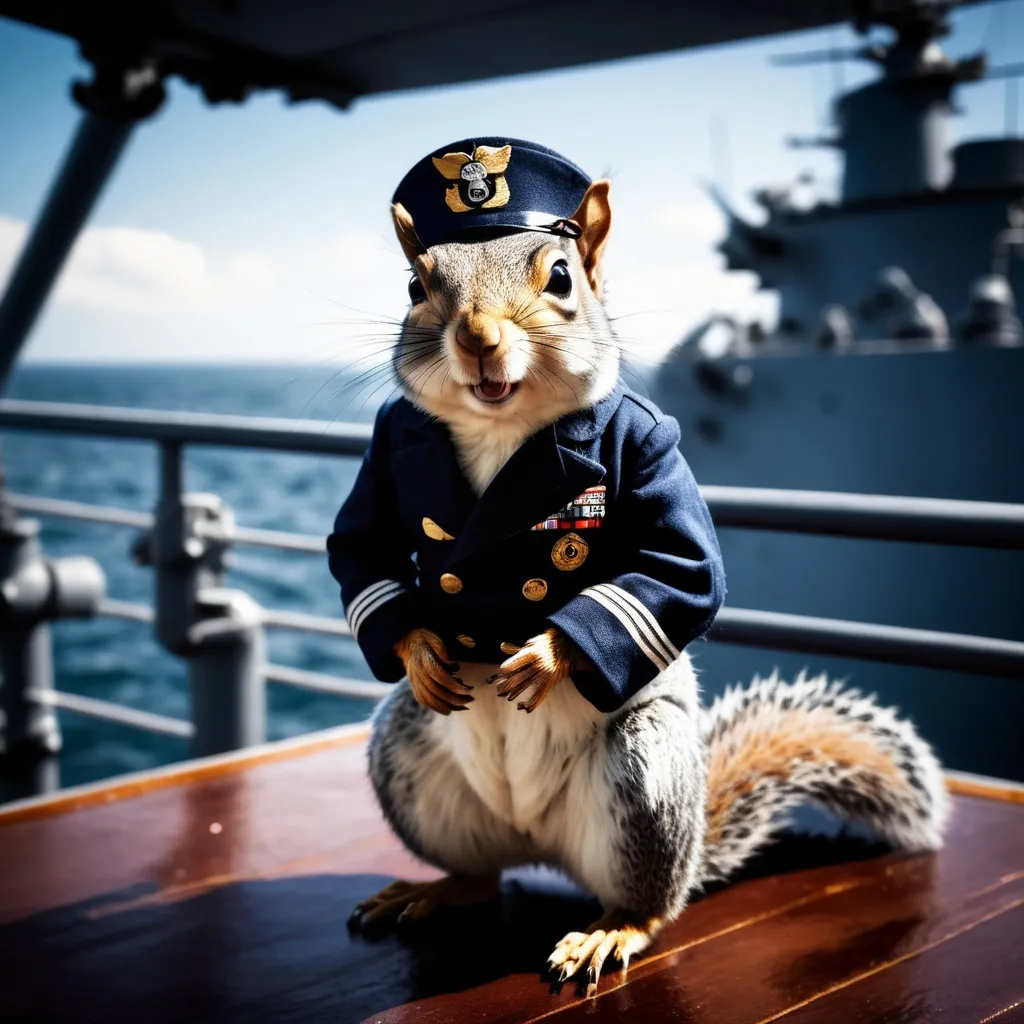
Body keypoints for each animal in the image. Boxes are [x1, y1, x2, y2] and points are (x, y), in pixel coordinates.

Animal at [331, 136, 946, 991]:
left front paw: (544, 657)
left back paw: (607, 931)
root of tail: (544, 848)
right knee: (483, 875)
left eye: (561, 277)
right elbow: (362, 549)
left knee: (648, 902)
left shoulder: (659, 457)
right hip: (409, 758)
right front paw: (420, 648)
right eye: (416, 285)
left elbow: (677, 568)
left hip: (641, 774)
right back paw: (433, 889)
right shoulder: (386, 457)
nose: (478, 336)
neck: (501, 430)